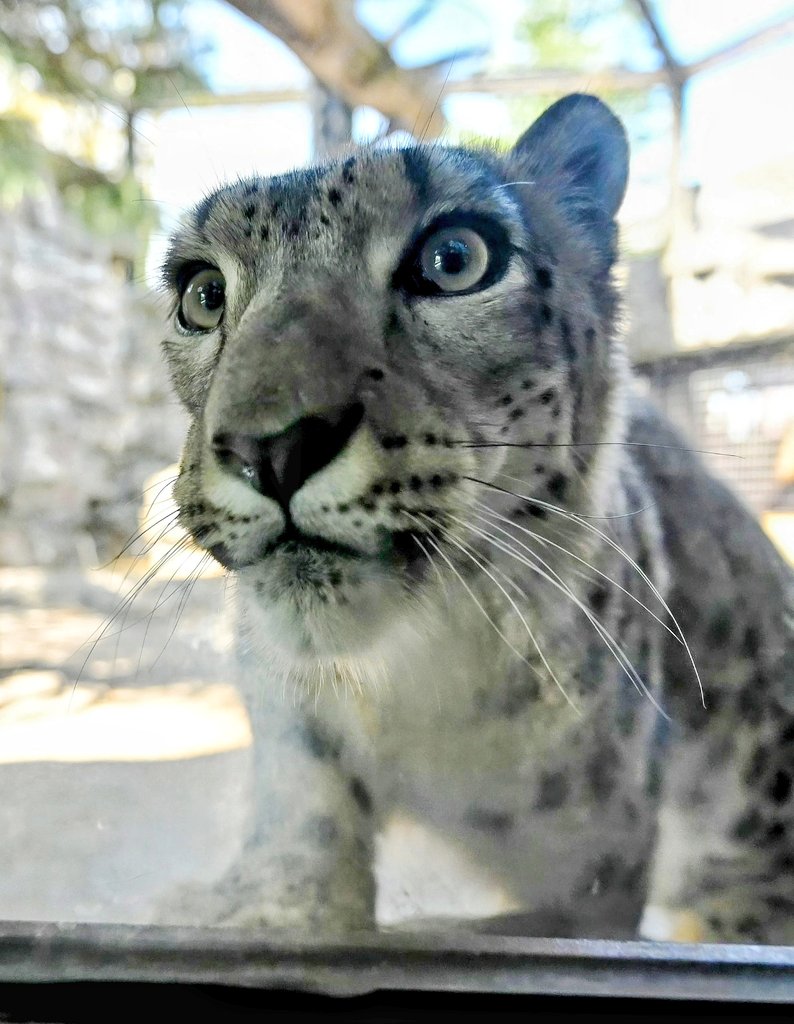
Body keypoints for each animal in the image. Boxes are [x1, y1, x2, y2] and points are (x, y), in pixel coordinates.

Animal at [161, 96, 794, 942]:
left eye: (455, 257)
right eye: (201, 294)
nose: (271, 447)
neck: (410, 689)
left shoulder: (597, 876)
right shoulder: (295, 734)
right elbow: (304, 840)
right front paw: (264, 907)